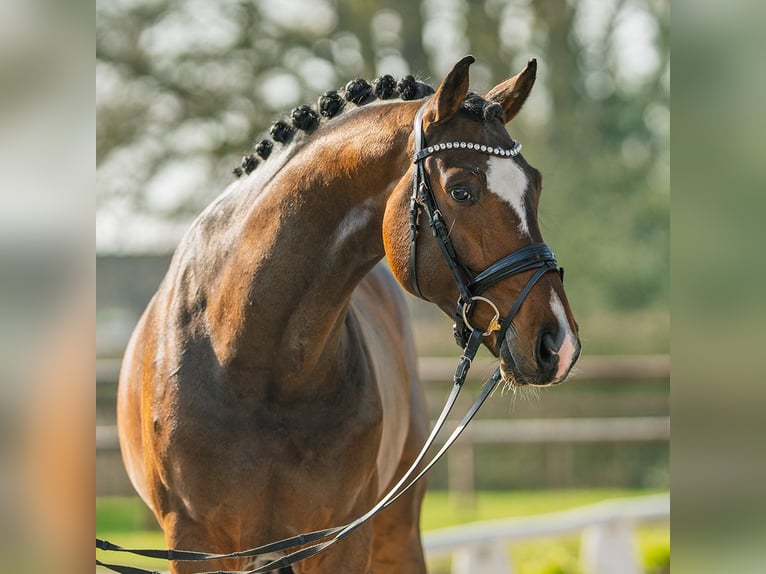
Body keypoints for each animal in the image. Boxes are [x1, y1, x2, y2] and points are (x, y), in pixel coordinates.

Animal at [116, 56, 580, 574]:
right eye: (461, 191)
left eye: (535, 185)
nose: (558, 342)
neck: (252, 360)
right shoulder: (194, 543)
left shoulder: (342, 538)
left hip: (395, 530)